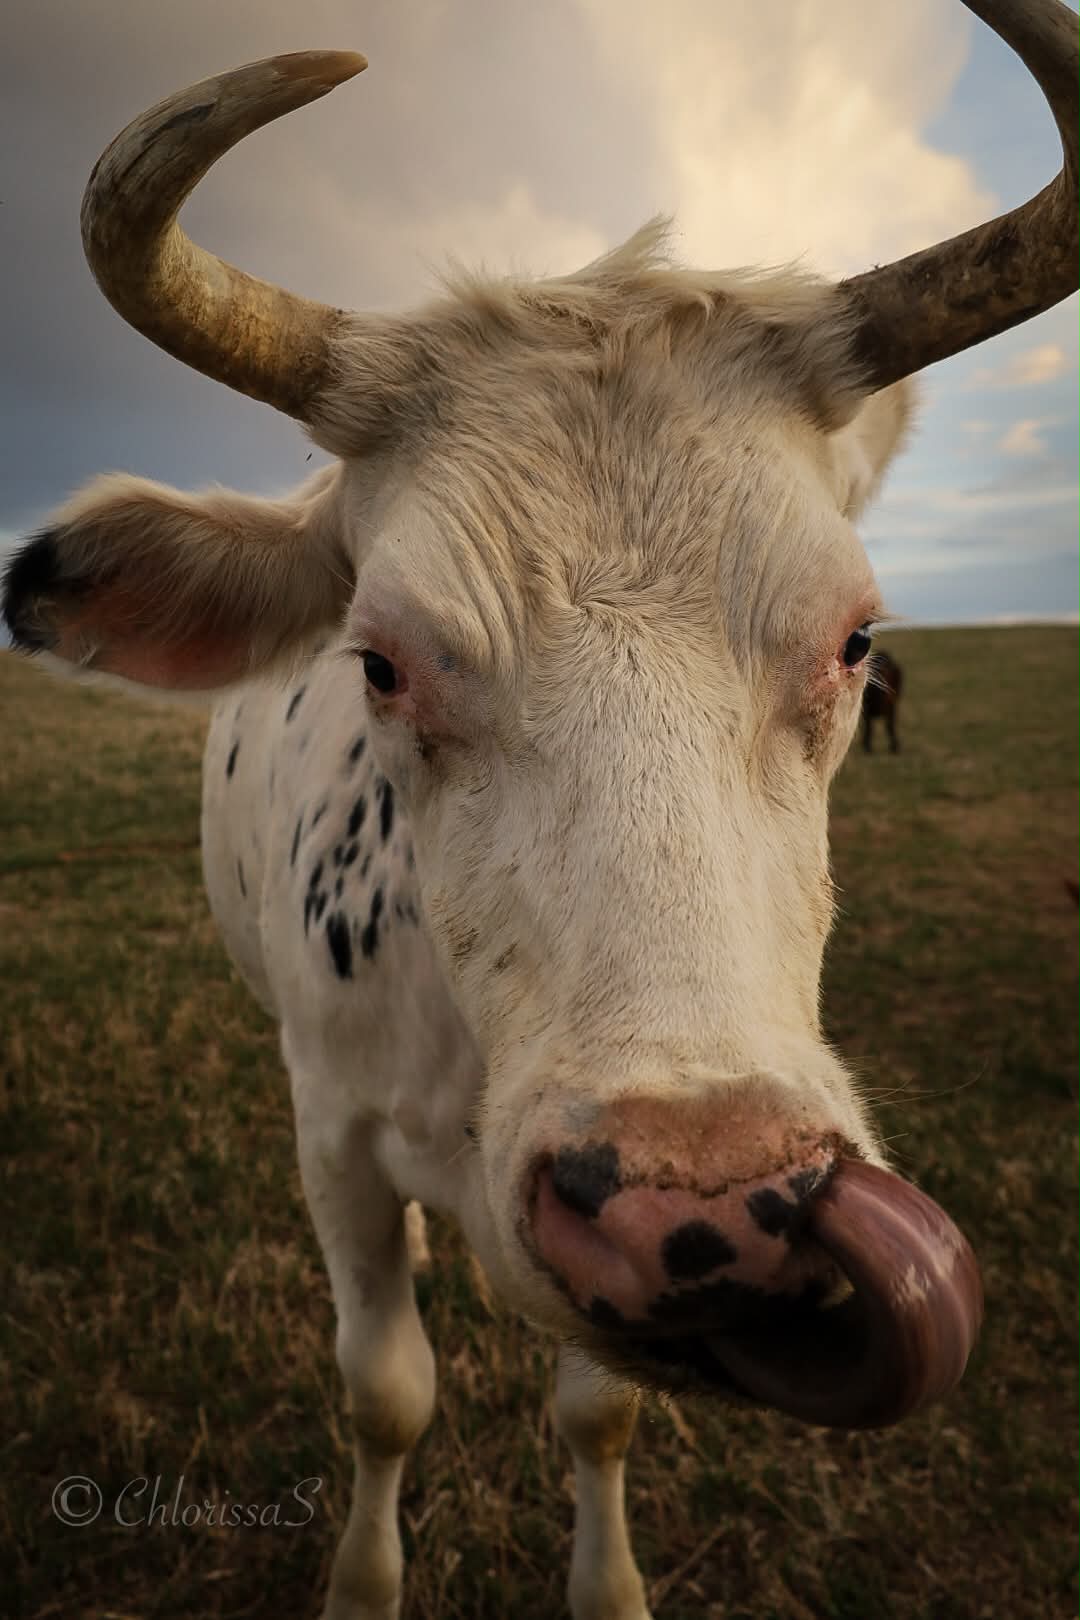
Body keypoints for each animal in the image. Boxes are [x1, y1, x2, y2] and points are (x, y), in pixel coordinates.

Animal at [4, 2, 1077, 1615]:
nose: (702, 1202)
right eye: (379, 659)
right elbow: (386, 1390)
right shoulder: (330, 1136)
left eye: (856, 641)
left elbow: (598, 1413)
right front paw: (363, 1580)